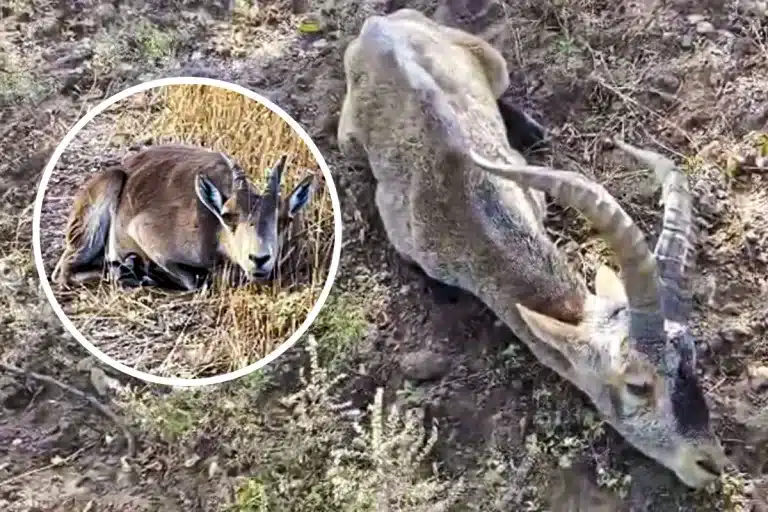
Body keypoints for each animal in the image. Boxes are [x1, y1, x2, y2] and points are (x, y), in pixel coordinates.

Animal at [52, 143, 316, 291]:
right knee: (64, 271)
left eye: (285, 219)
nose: (259, 259)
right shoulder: (146, 233)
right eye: (228, 216)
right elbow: (193, 280)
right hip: (101, 203)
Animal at [337, 8, 728, 489]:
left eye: (694, 356)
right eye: (637, 384)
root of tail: (380, 21)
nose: (710, 462)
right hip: (348, 136)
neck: (470, 206)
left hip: (493, 61)